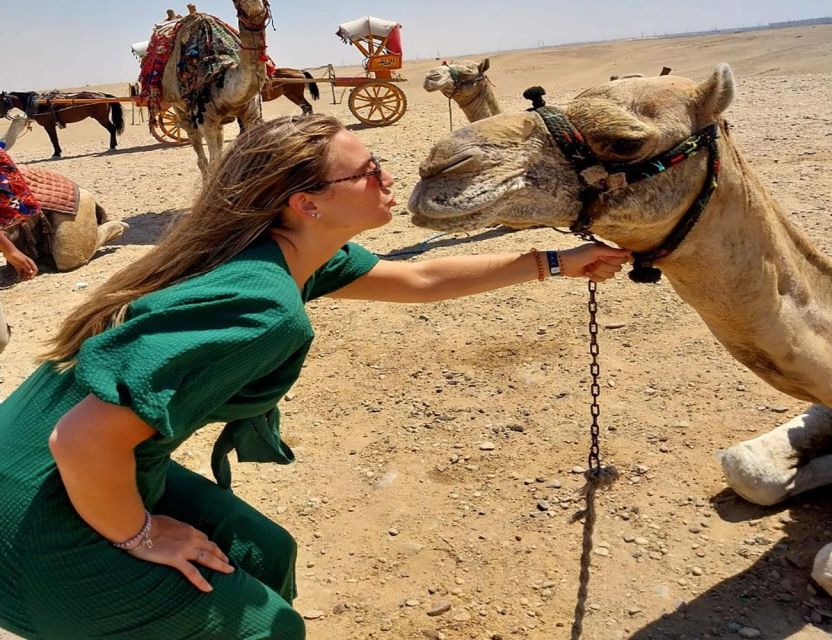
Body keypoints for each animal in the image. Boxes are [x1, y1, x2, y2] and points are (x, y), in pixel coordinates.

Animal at [160, 0, 270, 177]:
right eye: (237, 2)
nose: (255, 8)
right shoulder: (206, 122)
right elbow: (214, 164)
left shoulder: (252, 115)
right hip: (181, 111)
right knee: (201, 156)